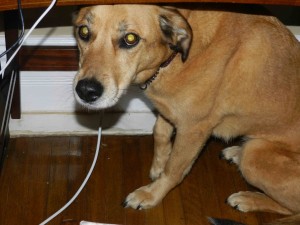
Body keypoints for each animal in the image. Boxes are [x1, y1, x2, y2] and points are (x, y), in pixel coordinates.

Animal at [73, 4, 300, 224]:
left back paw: (248, 198)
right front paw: (159, 163)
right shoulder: (169, 110)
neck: (174, 58)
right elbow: (160, 132)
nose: (85, 91)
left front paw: (151, 194)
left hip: (255, 156)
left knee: (291, 208)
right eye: (83, 31)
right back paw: (236, 153)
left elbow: (174, 169)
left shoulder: (193, 130)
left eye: (130, 39)